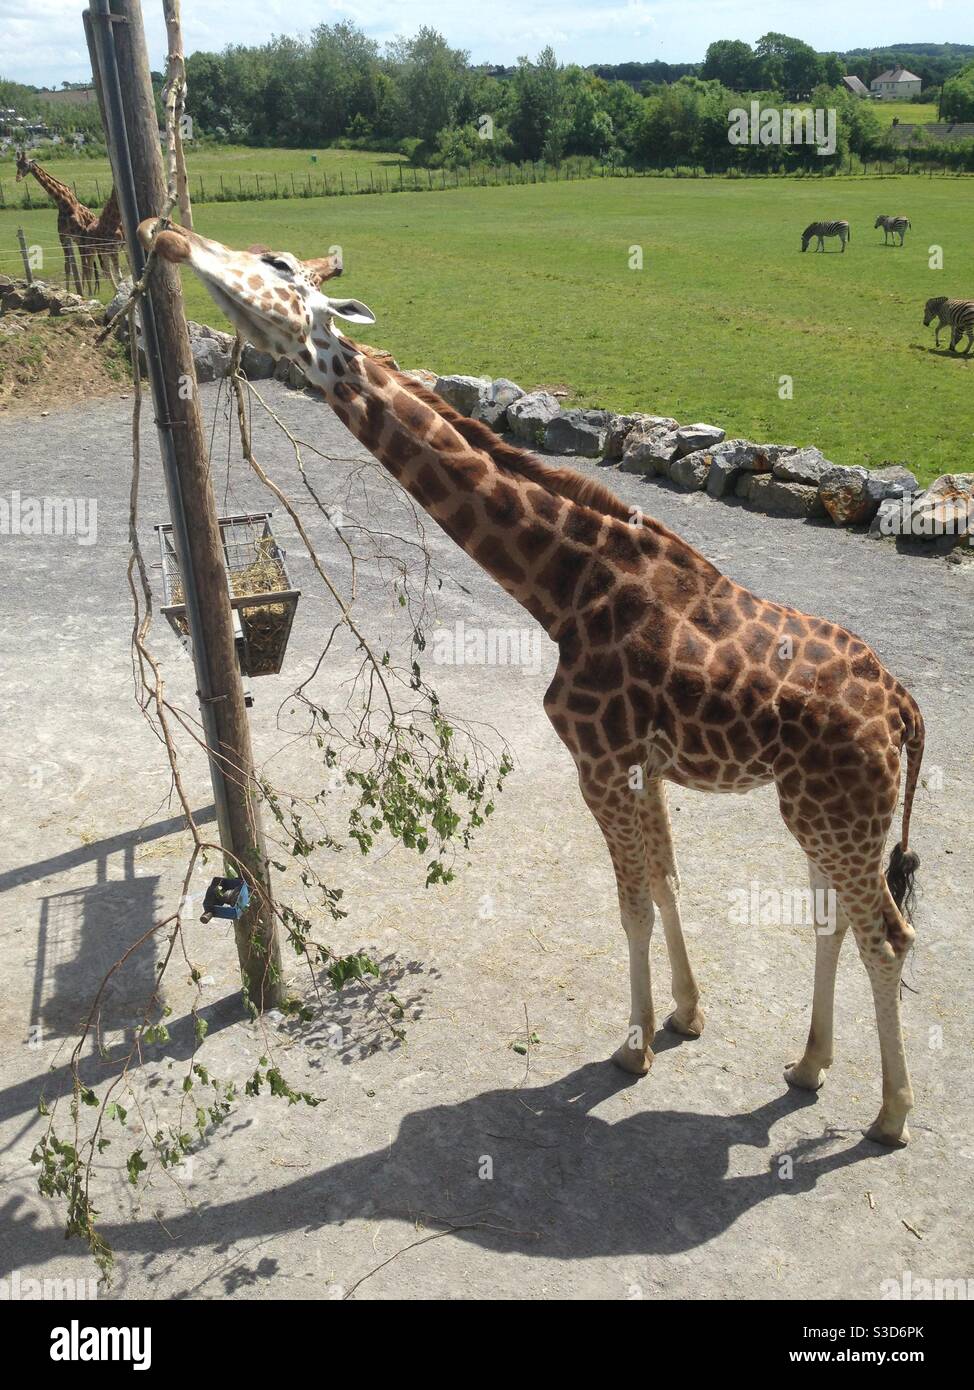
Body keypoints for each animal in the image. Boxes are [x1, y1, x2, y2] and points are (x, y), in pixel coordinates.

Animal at [138, 222, 928, 1145]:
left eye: (276, 266)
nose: (166, 231)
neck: (563, 587)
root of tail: (905, 710)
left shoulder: (601, 760)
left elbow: (631, 902)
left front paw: (633, 1050)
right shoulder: (642, 765)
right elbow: (665, 881)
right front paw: (687, 1015)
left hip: (839, 810)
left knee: (889, 936)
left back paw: (890, 1115)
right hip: (822, 812)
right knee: (835, 919)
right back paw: (807, 1066)